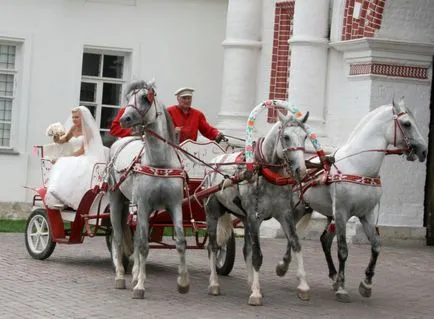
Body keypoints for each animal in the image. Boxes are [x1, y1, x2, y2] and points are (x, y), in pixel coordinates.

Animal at [107, 80, 189, 300]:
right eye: (128, 98)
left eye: (145, 98)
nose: (125, 118)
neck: (159, 163)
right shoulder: (143, 205)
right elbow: (143, 245)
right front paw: (140, 286)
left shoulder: (174, 205)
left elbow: (180, 241)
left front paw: (183, 283)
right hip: (116, 200)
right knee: (119, 237)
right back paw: (120, 276)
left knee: (135, 238)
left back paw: (134, 273)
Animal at [204, 111, 310, 306]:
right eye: (286, 137)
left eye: (305, 136)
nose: (302, 171)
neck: (264, 171)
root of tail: (214, 163)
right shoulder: (255, 216)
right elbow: (257, 256)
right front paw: (256, 294)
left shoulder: (284, 214)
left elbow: (296, 244)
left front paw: (303, 287)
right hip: (213, 213)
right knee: (213, 247)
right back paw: (214, 283)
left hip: (244, 218)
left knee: (245, 249)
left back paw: (249, 282)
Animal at [294, 99, 428, 304]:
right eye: (406, 124)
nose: (424, 151)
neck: (359, 167)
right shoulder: (342, 212)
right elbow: (343, 250)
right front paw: (342, 289)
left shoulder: (367, 214)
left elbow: (376, 246)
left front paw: (366, 283)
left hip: (320, 213)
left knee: (324, 240)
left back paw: (332, 277)